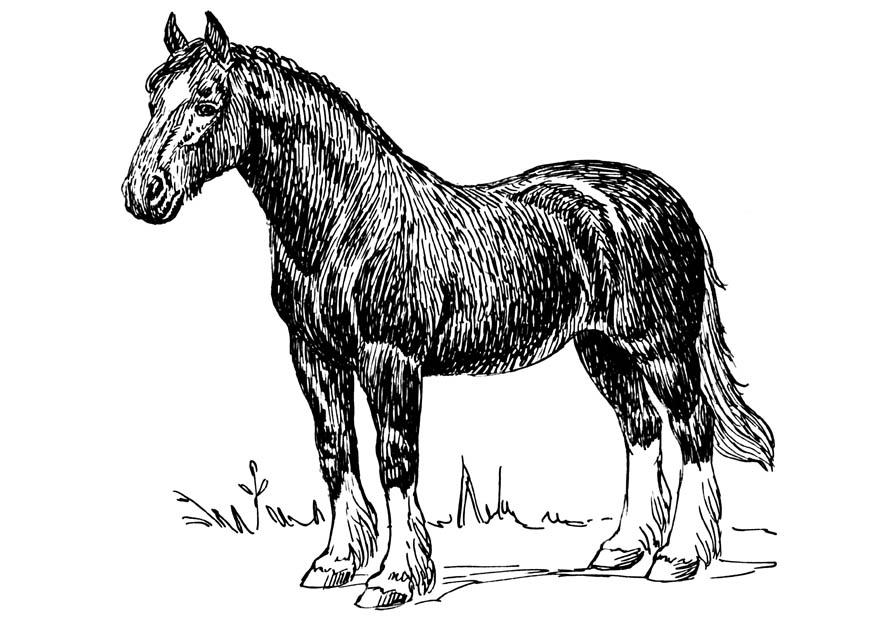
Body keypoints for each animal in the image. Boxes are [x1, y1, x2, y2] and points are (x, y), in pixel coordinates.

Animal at [122, 12, 775, 609]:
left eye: (207, 101)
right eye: (154, 94)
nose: (142, 194)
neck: (345, 218)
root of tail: (667, 198)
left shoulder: (390, 361)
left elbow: (395, 462)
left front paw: (395, 578)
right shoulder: (315, 357)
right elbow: (336, 453)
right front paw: (337, 564)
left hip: (660, 347)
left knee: (693, 431)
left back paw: (680, 557)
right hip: (604, 350)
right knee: (640, 432)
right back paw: (622, 550)